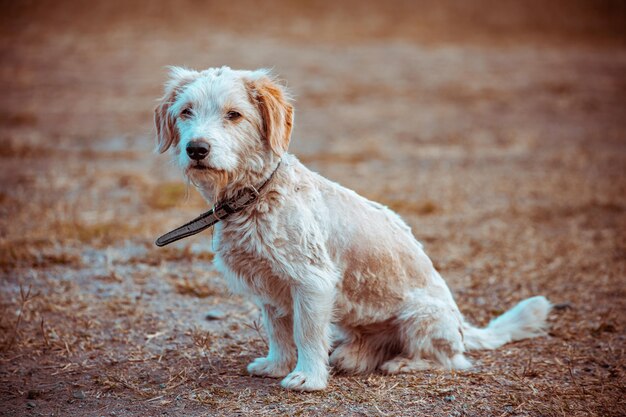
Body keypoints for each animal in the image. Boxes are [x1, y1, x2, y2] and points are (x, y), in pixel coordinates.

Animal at [154, 65, 548, 390]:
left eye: (234, 115)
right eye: (186, 111)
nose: (196, 148)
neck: (255, 196)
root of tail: (463, 327)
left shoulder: (312, 282)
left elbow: (306, 334)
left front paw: (308, 377)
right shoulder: (269, 286)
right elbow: (278, 332)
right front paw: (277, 365)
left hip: (421, 319)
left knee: (452, 360)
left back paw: (403, 363)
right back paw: (352, 355)